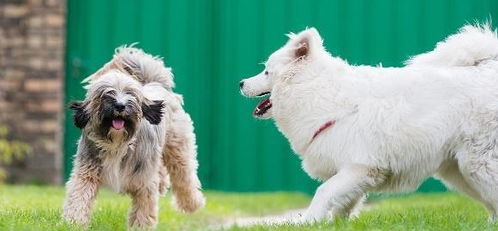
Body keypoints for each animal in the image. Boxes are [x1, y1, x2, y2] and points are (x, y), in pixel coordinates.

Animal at [62, 46, 206, 227]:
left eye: (130, 94)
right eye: (106, 94)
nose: (120, 106)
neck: (117, 144)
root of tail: (155, 83)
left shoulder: (145, 181)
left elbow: (143, 210)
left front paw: (141, 226)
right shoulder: (87, 173)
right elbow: (79, 196)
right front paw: (73, 222)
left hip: (178, 150)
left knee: (184, 177)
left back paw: (193, 203)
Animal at [239, 24, 498, 224]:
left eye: (266, 72)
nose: (240, 83)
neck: (317, 92)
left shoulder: (360, 165)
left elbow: (324, 191)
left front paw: (309, 221)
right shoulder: (353, 172)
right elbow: (344, 201)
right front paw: (337, 224)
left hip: (478, 165)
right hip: (458, 171)